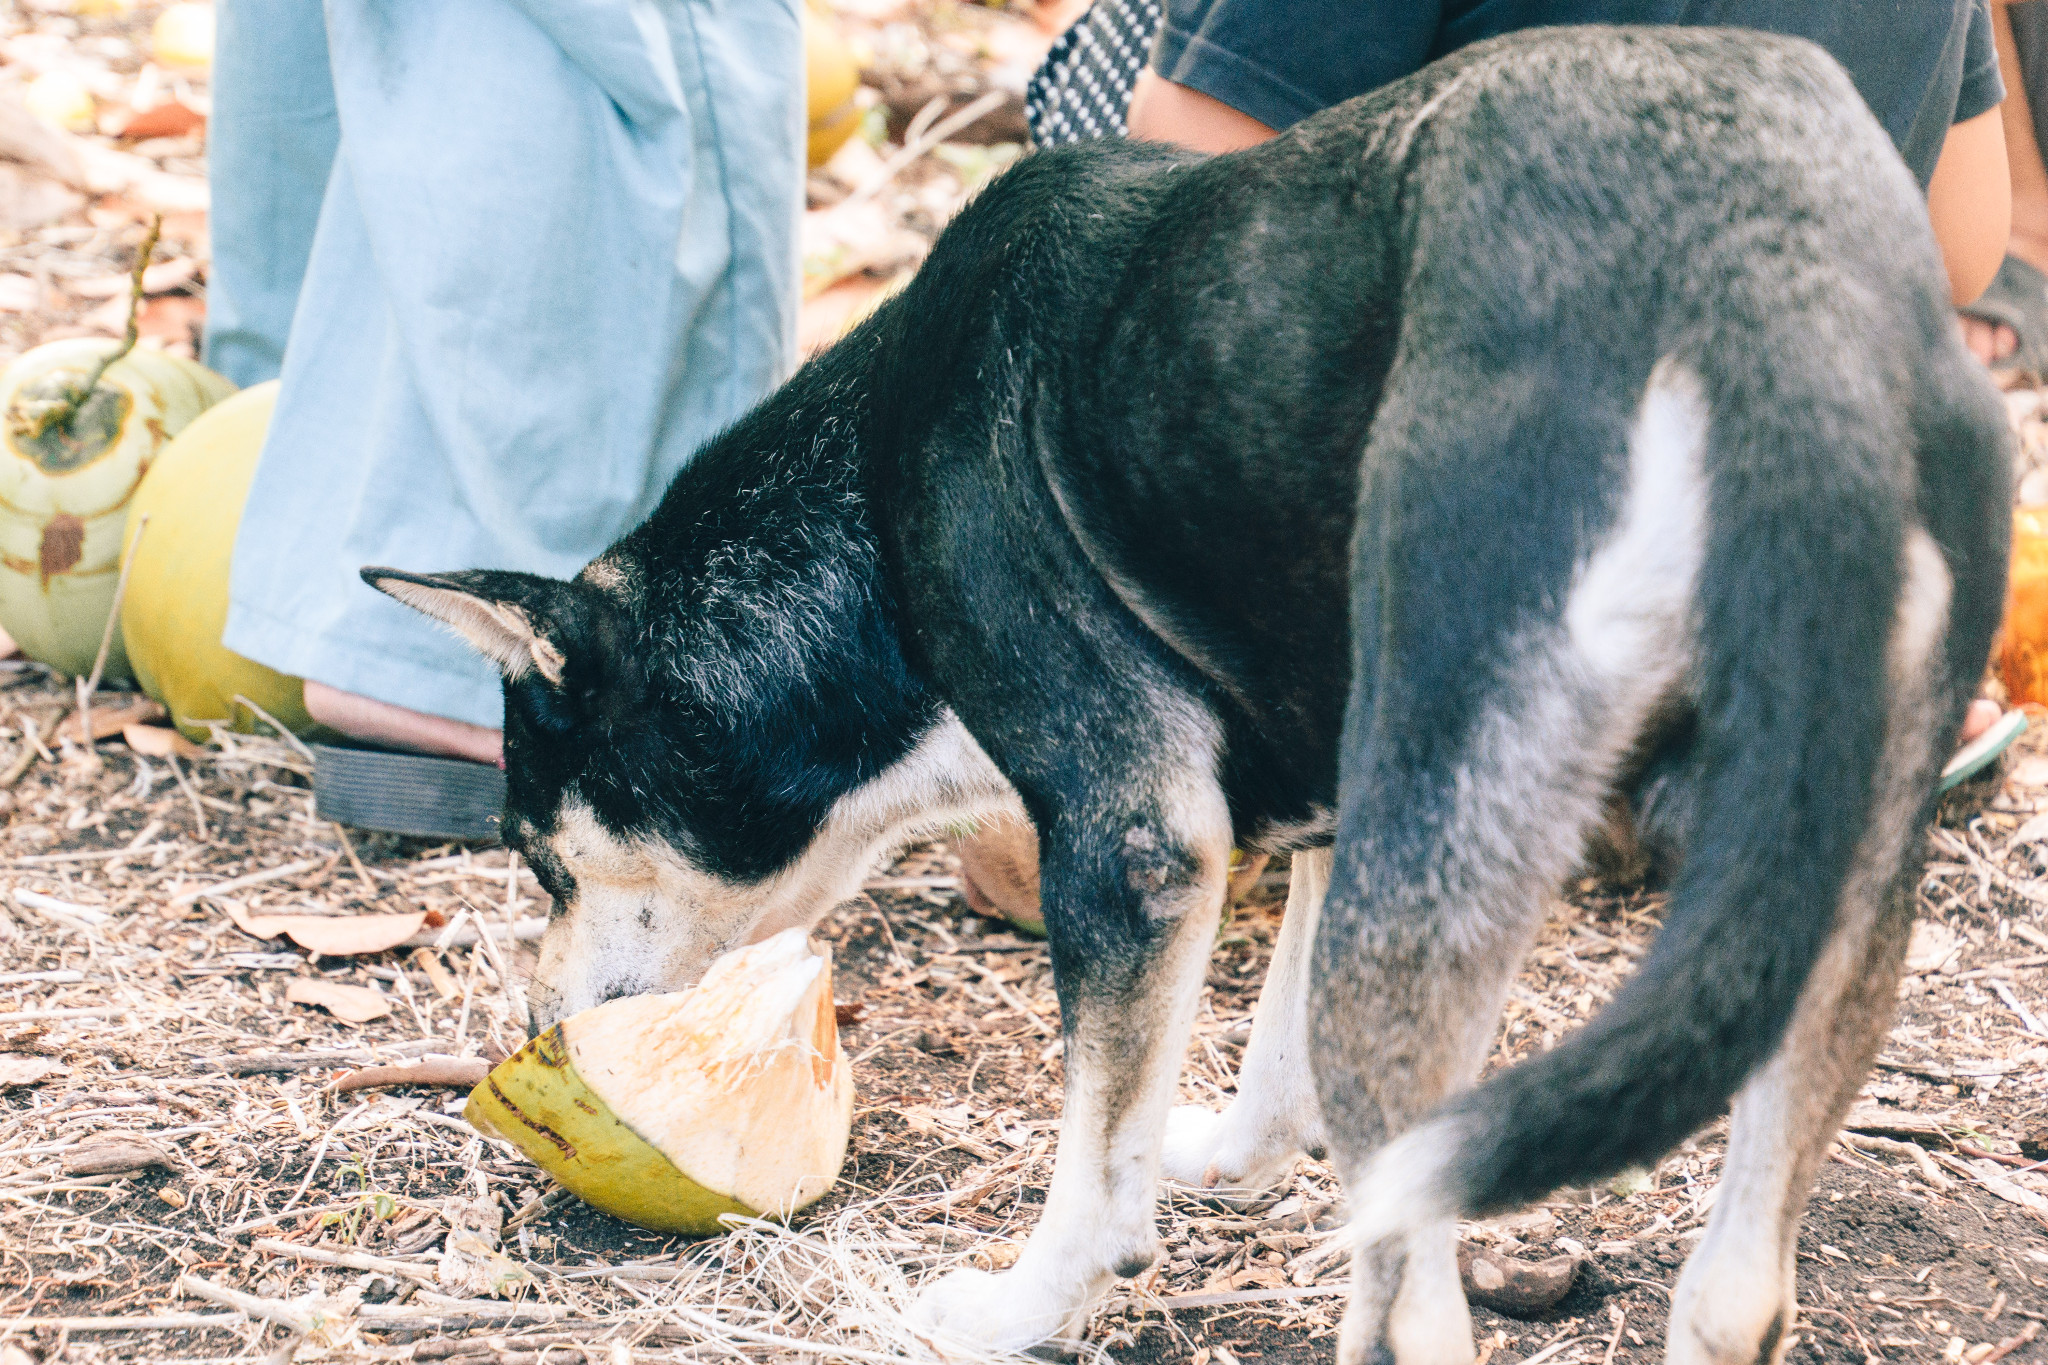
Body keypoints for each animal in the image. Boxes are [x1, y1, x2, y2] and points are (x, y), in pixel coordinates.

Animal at [364, 29, 1998, 1365]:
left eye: (542, 860)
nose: (531, 1027)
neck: (866, 506)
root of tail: (1756, 292)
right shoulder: (1335, 781)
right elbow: (1268, 1045)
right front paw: (1233, 1153)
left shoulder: (1134, 841)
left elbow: (1096, 1169)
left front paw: (1020, 1306)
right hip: (1819, 882)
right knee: (1729, 1294)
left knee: (1417, 1308)